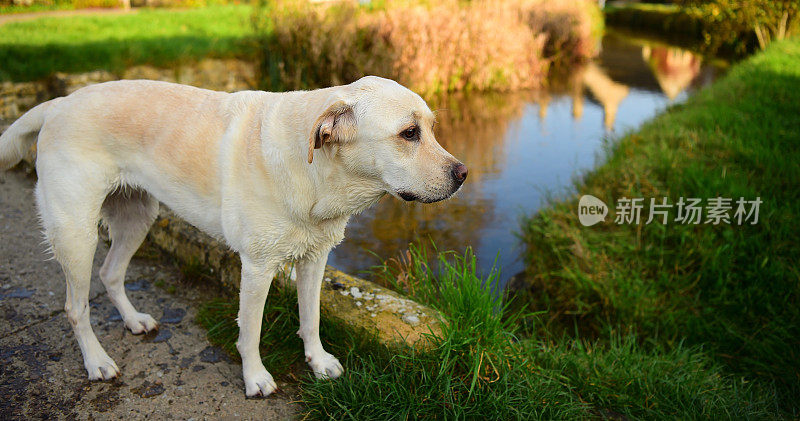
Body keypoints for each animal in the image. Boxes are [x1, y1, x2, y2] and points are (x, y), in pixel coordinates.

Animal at [0, 76, 466, 398]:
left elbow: (311, 318)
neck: (315, 171)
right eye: (409, 133)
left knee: (111, 274)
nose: (463, 174)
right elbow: (251, 331)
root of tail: (59, 103)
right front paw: (256, 378)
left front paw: (318, 362)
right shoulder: (258, 267)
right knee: (75, 307)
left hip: (137, 216)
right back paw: (97, 361)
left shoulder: (315, 258)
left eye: (431, 128)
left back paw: (133, 321)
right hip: (76, 234)